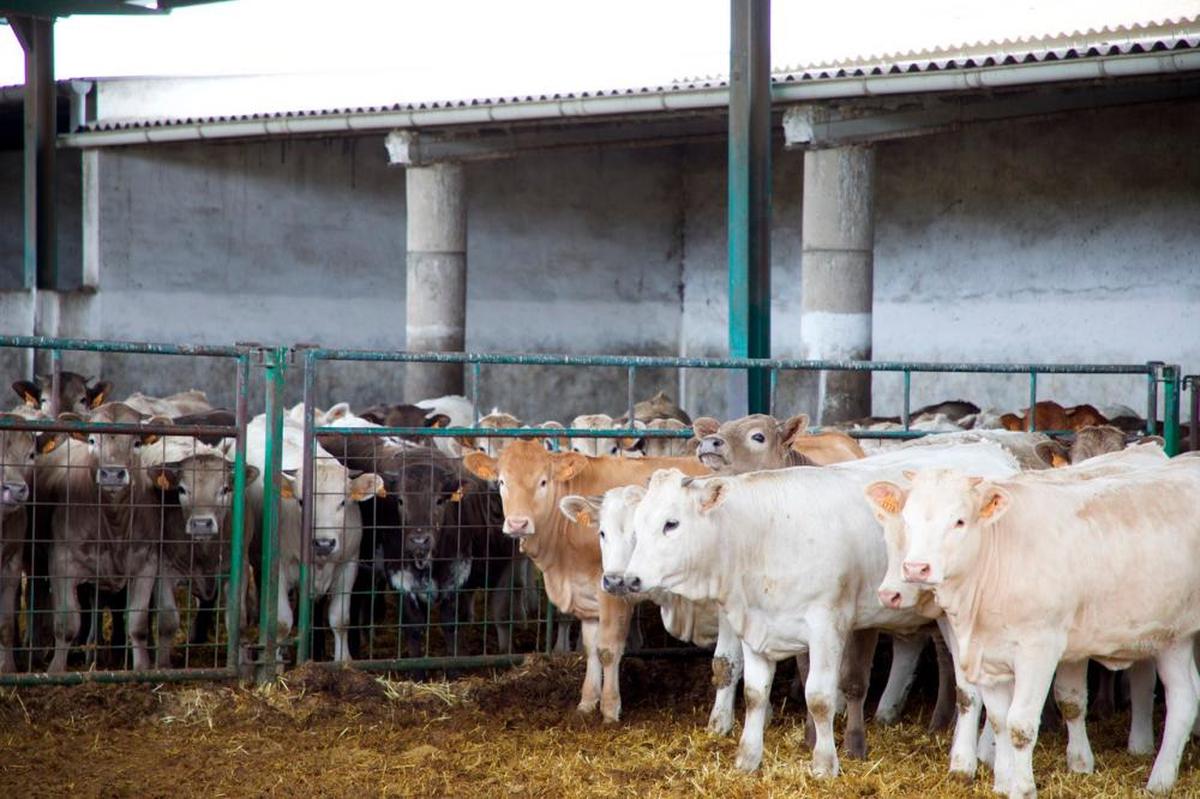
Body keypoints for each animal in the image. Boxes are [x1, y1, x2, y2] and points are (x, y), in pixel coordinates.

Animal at [45, 400, 171, 667]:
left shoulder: (147, 563)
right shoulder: (61, 562)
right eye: (92, 440)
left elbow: (137, 623)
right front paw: (55, 669)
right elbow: (66, 624)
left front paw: (142, 667)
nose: (112, 474)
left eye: (137, 443)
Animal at [460, 439, 705, 719]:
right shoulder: (586, 597)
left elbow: (608, 649)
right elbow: (590, 648)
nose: (518, 524)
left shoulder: (614, 591)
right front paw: (587, 702)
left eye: (543, 481)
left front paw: (610, 708)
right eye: (502, 481)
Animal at [619, 439, 1022, 772]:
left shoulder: (827, 626)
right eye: (638, 523)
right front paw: (748, 760)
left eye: (671, 524)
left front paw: (825, 764)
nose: (630, 579)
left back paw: (973, 760)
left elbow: (820, 698)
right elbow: (754, 694)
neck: (764, 534)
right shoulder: (755, 626)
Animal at [883, 451, 1200, 791]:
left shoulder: (1039, 649)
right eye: (907, 519)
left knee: (1181, 699)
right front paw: (1003, 784)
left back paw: (1159, 780)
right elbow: (999, 719)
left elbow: (1020, 725)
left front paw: (1022, 789)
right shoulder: (988, 656)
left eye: (959, 521)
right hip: (1173, 639)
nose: (916, 568)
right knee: (1188, 694)